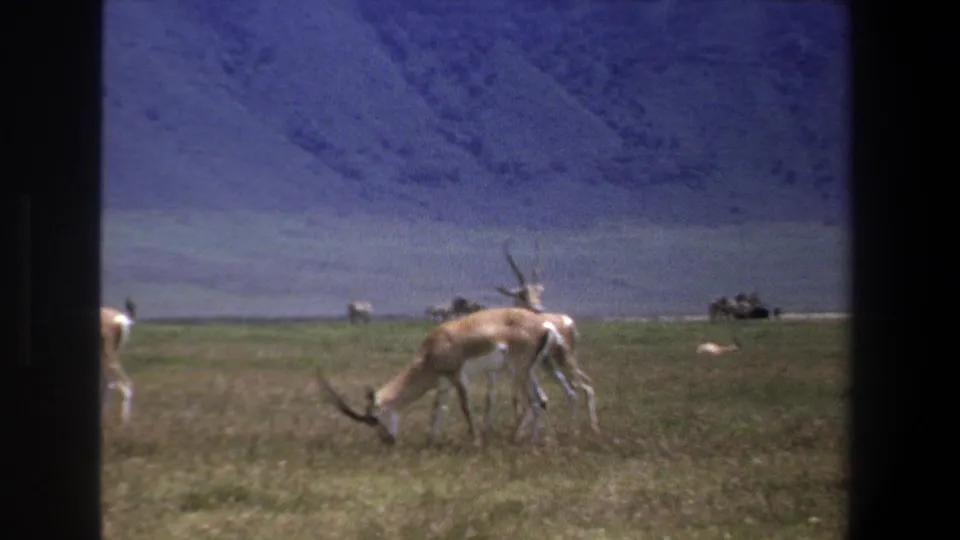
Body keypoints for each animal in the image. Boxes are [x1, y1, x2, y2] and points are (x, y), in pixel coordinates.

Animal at [317, 307, 565, 446]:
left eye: (376, 418)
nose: (388, 442)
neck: (433, 348)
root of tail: (544, 326)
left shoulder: (458, 376)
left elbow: (466, 408)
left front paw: (475, 441)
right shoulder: (443, 384)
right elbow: (436, 411)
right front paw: (430, 441)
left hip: (518, 371)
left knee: (532, 403)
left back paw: (517, 440)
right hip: (527, 371)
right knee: (540, 401)